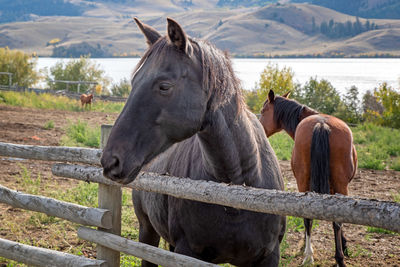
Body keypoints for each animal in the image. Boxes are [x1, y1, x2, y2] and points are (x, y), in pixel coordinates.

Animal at [101, 17, 286, 266]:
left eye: (164, 86)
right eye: (134, 81)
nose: (111, 161)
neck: (237, 191)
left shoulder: (269, 256)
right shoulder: (188, 252)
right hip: (147, 230)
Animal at [260, 90, 358, 267]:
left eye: (263, 111)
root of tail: (321, 125)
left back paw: (312, 255)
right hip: (334, 184)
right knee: (327, 220)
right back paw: (328, 257)